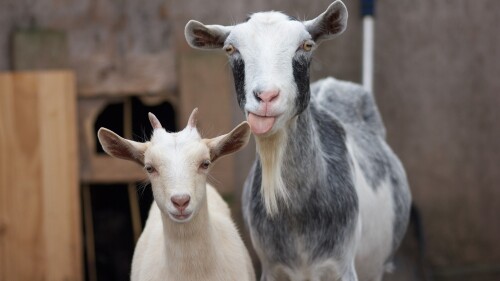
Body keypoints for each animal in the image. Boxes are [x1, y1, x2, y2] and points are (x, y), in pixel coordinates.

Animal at [186, 1, 412, 278]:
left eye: (306, 45)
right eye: (230, 49)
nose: (266, 96)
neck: (297, 216)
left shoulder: (343, 266)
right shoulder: (271, 268)